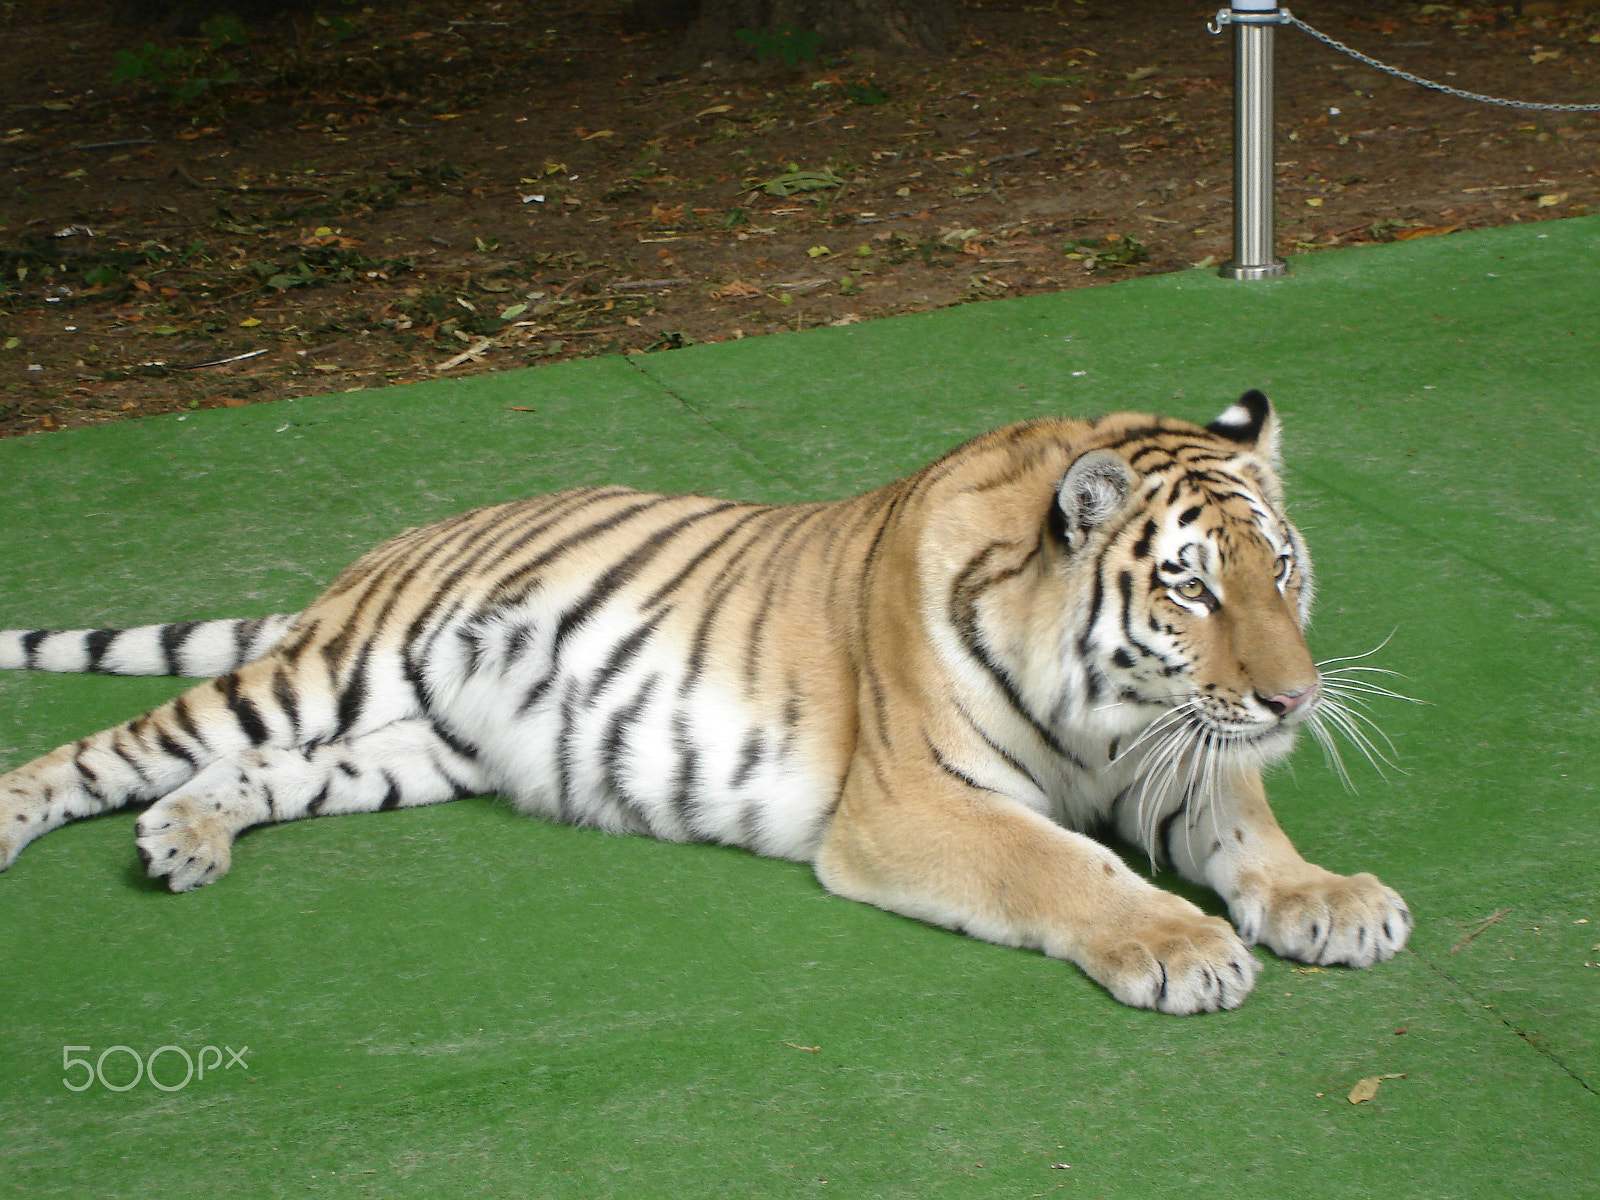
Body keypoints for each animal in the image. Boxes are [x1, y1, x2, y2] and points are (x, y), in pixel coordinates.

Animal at [0, 392, 1408, 1017]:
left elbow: (1247, 832)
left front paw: (1331, 902)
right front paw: (1182, 947)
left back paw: (185, 839)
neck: (1109, 716)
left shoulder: (1177, 756)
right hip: (326, 674)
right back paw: (32, 821)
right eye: (1189, 587)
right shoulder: (910, 805)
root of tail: (381, 553)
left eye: (1279, 570)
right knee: (109, 749)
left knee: (244, 774)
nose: (1293, 695)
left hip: (406, 748)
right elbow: (1065, 868)